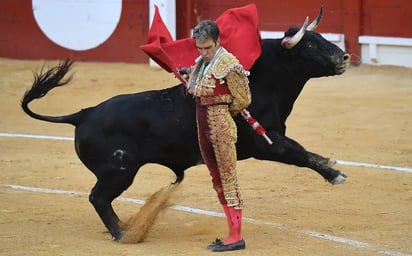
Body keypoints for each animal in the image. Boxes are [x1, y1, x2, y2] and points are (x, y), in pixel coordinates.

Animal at [21, 29, 350, 241]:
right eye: (309, 46)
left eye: (323, 39)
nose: (345, 56)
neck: (261, 81)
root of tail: (83, 114)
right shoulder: (264, 142)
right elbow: (299, 153)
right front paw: (334, 173)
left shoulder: (271, 137)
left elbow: (300, 151)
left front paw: (332, 168)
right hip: (118, 171)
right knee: (98, 197)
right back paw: (123, 233)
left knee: (100, 199)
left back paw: (124, 227)